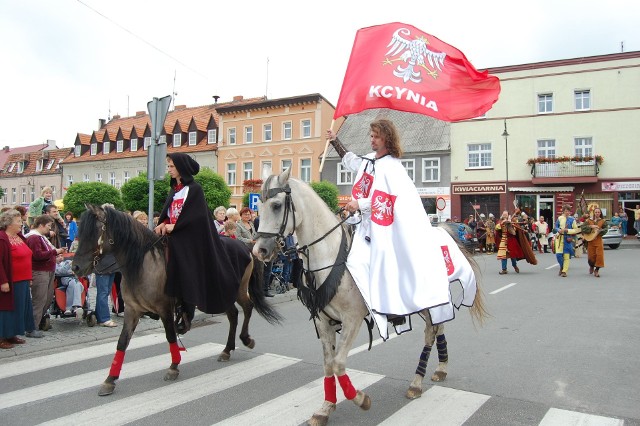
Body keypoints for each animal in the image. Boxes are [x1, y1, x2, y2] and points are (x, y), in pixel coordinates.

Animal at [72, 205, 280, 394]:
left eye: (95, 232)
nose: (75, 267)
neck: (142, 265)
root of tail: (244, 247)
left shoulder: (164, 308)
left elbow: (170, 335)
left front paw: (173, 367)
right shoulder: (132, 310)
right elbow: (122, 342)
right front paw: (110, 379)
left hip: (236, 290)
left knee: (247, 307)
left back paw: (246, 339)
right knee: (233, 314)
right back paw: (227, 350)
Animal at [252, 170, 488, 426]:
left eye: (276, 205)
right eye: (259, 206)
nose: (259, 251)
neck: (331, 258)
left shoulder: (352, 320)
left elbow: (339, 364)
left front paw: (360, 398)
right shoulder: (323, 321)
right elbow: (328, 365)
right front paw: (325, 408)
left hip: (428, 302)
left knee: (430, 333)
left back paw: (416, 382)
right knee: (439, 328)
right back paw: (440, 368)